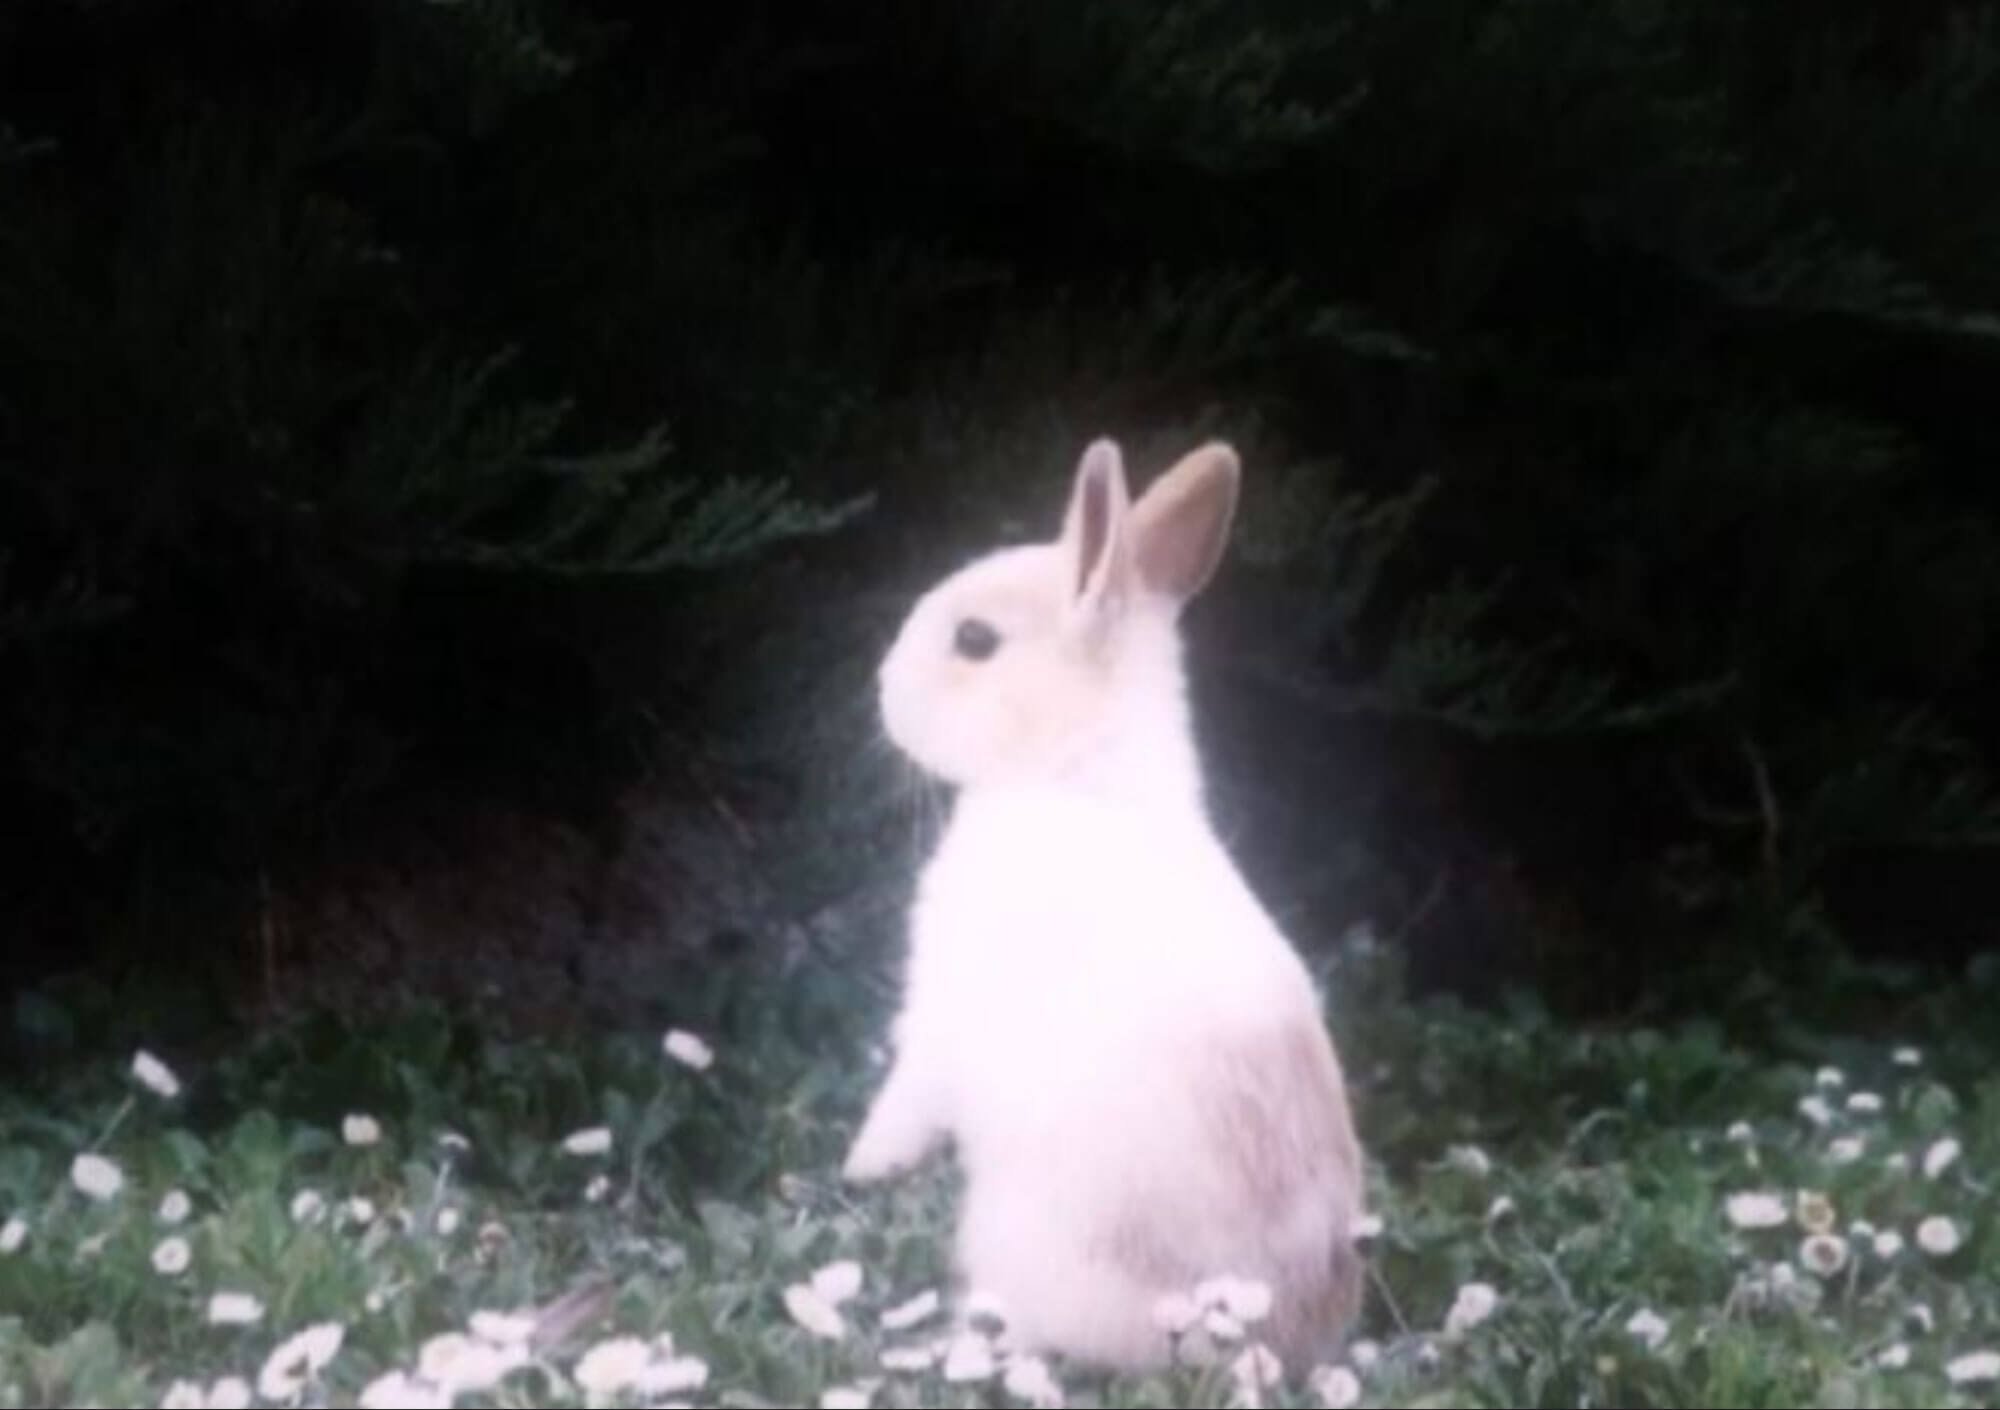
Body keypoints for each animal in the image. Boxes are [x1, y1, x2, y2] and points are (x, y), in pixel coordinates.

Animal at [843, 436, 1369, 1374]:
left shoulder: (945, 1014)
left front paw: (864, 1166)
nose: (883, 691)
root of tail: (1269, 1333)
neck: (1071, 769)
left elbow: (908, 1093)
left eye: (974, 640)